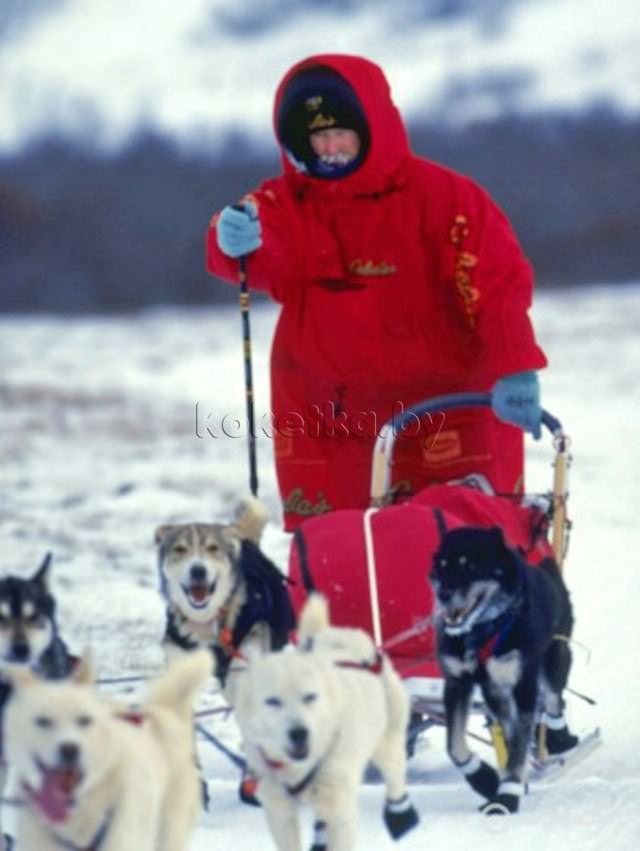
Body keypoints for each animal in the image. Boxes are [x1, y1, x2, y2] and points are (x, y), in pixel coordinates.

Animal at [232, 592, 418, 851]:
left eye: (310, 697)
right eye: (273, 701)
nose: (299, 732)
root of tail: (339, 635)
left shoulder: (341, 813)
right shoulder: (280, 813)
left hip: (386, 741)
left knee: (395, 773)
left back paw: (400, 814)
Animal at [432, 524, 576, 812]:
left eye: (469, 566)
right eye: (442, 565)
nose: (443, 594)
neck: (481, 633)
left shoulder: (523, 686)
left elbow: (520, 741)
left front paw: (507, 795)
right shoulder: (457, 683)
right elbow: (454, 746)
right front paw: (485, 779)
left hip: (553, 659)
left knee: (553, 700)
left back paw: (559, 737)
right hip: (495, 692)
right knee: (509, 723)